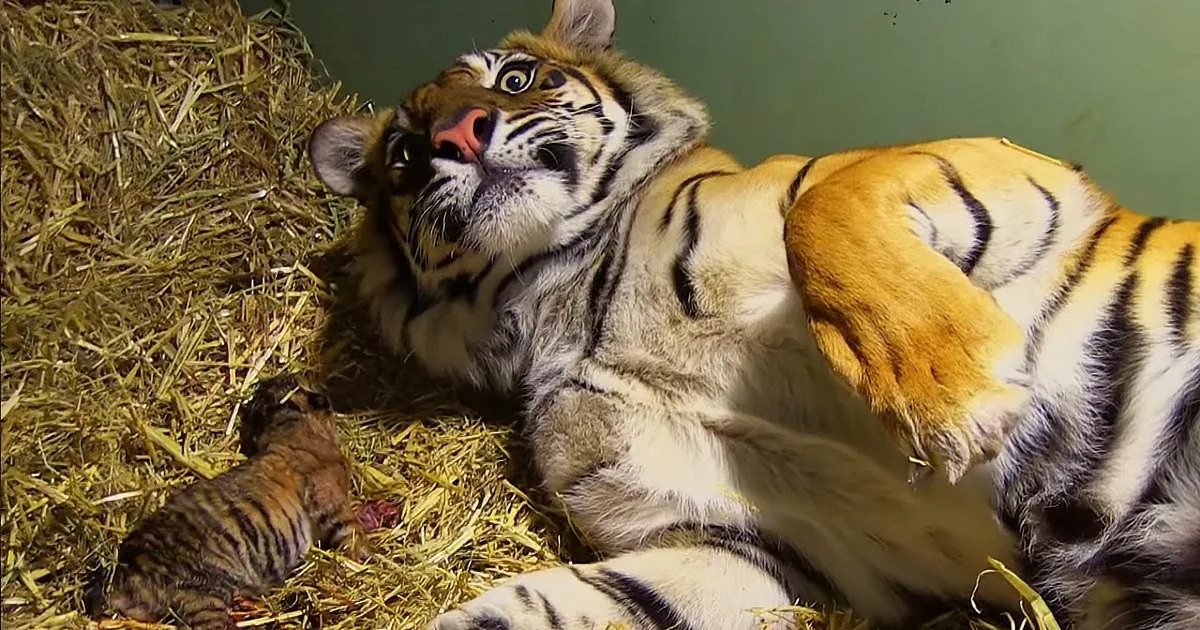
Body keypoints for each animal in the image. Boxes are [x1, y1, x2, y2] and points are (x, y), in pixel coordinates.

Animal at [84, 376, 385, 630]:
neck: (289, 427)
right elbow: (353, 534)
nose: (265, 381)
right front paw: (371, 558)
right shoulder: (330, 501)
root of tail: (131, 570)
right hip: (202, 594)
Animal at [305, 0, 1198, 628]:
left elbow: (822, 212)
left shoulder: (1001, 166)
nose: (458, 134)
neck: (561, 295)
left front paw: (955, 398)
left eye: (516, 78)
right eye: (403, 156)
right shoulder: (757, 548)